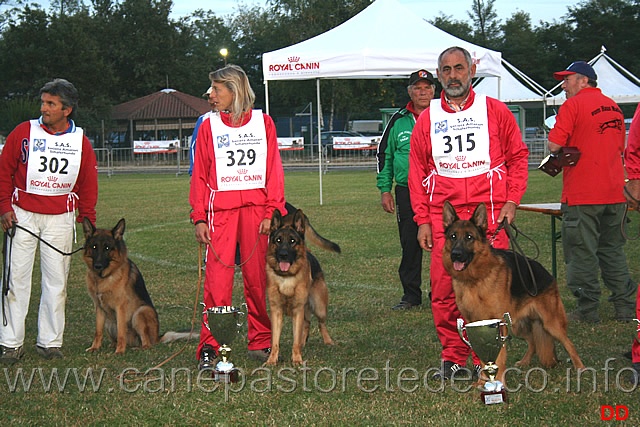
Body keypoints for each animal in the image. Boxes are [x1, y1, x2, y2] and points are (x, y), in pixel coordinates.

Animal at [82, 219, 190, 356]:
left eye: (107, 248)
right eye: (94, 247)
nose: (98, 266)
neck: (104, 277)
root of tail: (157, 337)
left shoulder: (121, 308)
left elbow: (121, 331)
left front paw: (120, 351)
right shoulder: (99, 308)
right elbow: (98, 331)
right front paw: (95, 347)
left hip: (141, 312)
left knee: (147, 344)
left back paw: (136, 348)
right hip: (108, 321)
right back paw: (113, 345)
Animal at [264, 209, 336, 366]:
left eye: (292, 241)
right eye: (278, 240)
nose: (283, 255)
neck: (286, 277)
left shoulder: (298, 310)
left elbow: (295, 341)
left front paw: (297, 360)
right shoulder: (276, 312)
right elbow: (275, 341)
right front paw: (272, 360)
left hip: (319, 306)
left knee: (321, 323)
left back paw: (328, 341)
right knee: (308, 323)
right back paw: (304, 342)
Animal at [442, 202, 584, 382]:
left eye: (469, 237)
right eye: (453, 236)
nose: (456, 255)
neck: (475, 278)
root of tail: (547, 274)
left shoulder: (498, 324)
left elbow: (500, 356)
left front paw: (498, 380)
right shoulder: (473, 324)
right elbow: (482, 358)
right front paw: (483, 381)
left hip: (550, 323)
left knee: (568, 343)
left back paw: (580, 367)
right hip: (517, 325)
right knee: (533, 342)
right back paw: (524, 362)